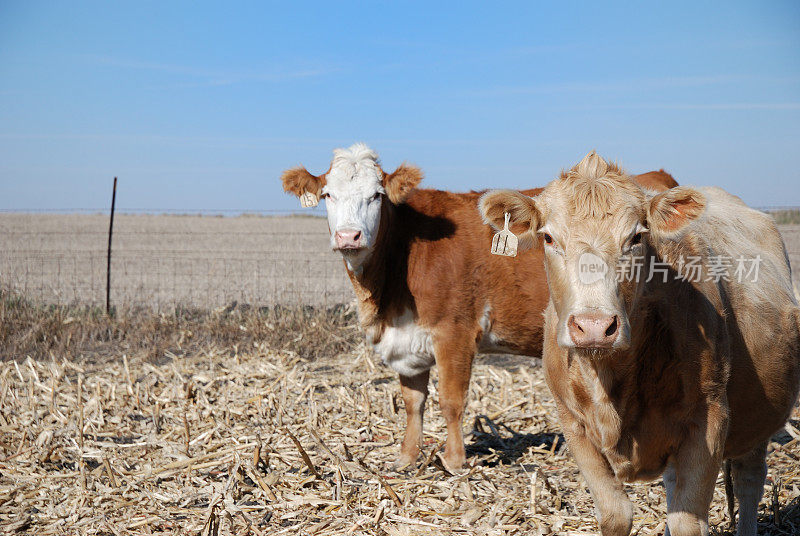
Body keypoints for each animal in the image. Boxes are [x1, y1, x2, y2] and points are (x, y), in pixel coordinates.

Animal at [284, 144, 680, 472]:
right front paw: (406, 459)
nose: (348, 236)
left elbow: (450, 400)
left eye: (376, 196)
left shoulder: (454, 332)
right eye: (327, 194)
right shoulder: (407, 340)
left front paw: (454, 461)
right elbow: (413, 402)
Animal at [478, 152, 800, 536]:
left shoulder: (709, 419)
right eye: (549, 238)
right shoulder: (573, 425)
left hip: (758, 419)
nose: (594, 327)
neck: (609, 383)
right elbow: (616, 515)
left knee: (749, 479)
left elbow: (689, 523)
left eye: (635, 237)